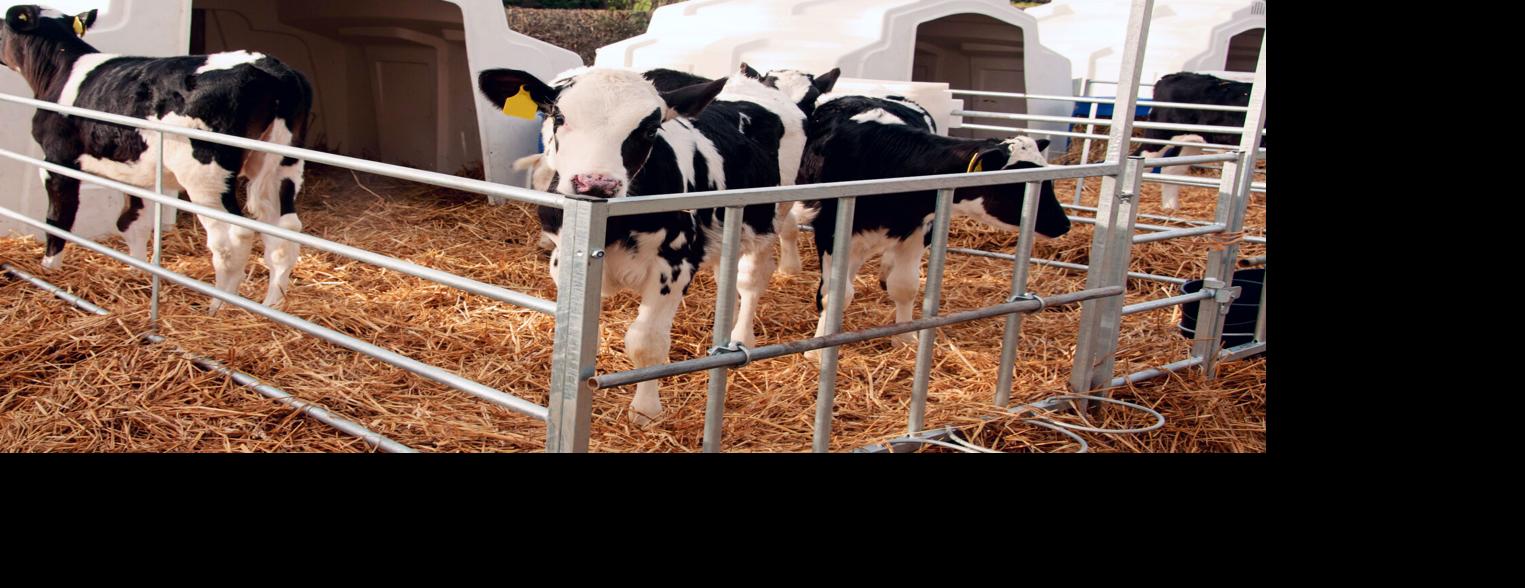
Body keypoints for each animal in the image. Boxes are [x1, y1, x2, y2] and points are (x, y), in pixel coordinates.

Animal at [1, 5, 313, 314]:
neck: (60, 70)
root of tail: (270, 66)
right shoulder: (134, 172)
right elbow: (131, 222)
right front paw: (136, 271)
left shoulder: (57, 159)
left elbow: (57, 218)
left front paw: (49, 269)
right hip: (281, 165)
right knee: (284, 231)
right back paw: (272, 305)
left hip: (205, 175)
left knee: (232, 238)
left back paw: (218, 308)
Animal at [477, 66, 785, 426]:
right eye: (559, 116)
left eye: (649, 129)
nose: (596, 183)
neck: (613, 226)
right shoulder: (564, 257)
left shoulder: (676, 264)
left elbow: (646, 342)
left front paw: (645, 411)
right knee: (728, 273)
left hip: (770, 216)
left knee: (751, 280)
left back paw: (742, 337)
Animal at [795, 99, 1072, 361]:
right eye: (1015, 185)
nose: (1064, 224)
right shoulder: (829, 231)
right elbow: (835, 294)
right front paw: (819, 350)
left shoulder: (919, 230)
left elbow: (904, 286)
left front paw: (905, 339)